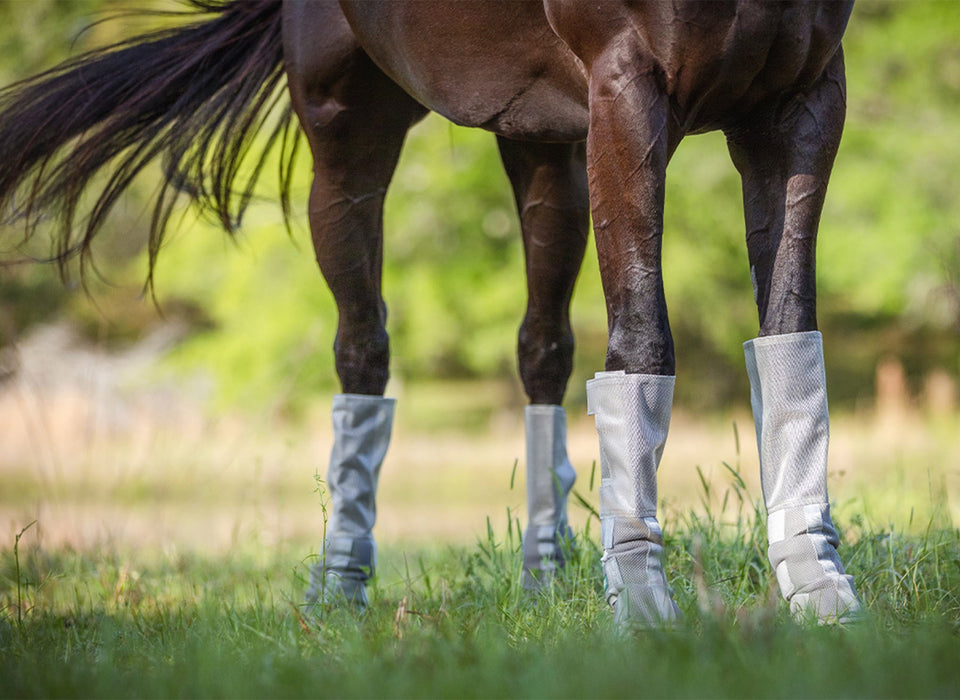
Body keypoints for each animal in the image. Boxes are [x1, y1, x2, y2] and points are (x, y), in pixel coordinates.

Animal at [0, 0, 861, 626]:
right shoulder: (629, 87)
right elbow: (645, 334)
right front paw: (649, 613)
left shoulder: (804, 95)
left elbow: (789, 329)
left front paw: (819, 592)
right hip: (347, 139)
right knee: (362, 350)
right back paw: (340, 586)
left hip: (546, 151)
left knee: (541, 350)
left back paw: (544, 579)